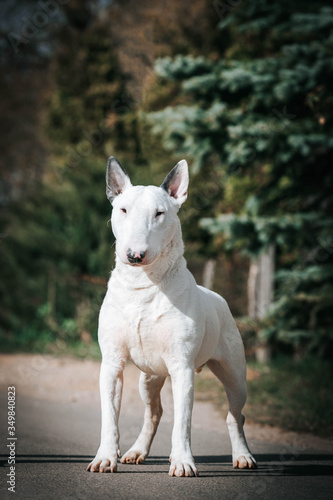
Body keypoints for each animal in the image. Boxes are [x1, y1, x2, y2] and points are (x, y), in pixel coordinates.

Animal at [87, 156, 255, 476]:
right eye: (123, 210)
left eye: (159, 213)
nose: (134, 255)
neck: (143, 285)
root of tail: (216, 296)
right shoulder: (112, 363)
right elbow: (109, 418)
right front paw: (105, 457)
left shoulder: (182, 367)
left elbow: (183, 423)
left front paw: (183, 462)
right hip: (149, 378)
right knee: (154, 412)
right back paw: (136, 451)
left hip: (235, 374)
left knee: (235, 415)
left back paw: (242, 455)